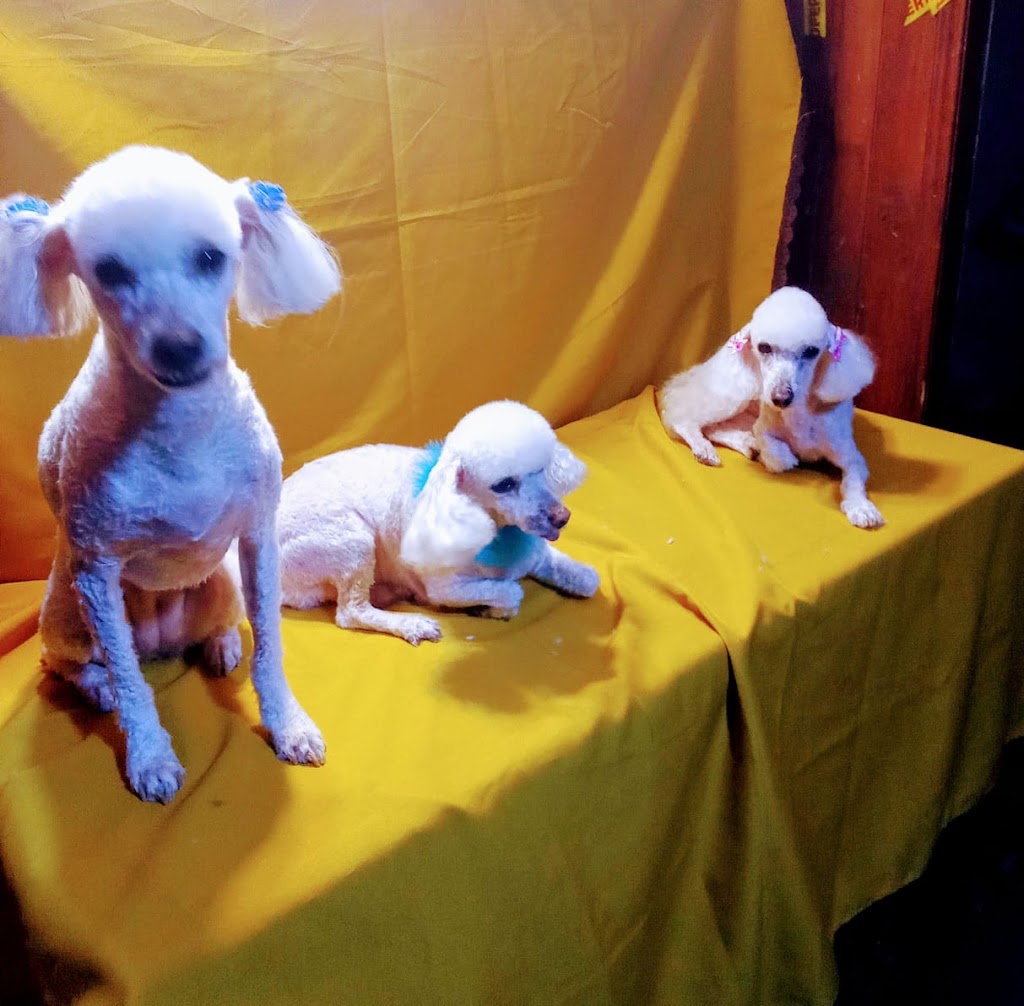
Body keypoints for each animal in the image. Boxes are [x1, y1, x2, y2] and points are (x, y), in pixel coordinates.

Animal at [0, 145, 341, 802]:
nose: (179, 346)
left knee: (222, 624)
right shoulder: (96, 568)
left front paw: (287, 725)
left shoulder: (257, 538)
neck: (179, 430)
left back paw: (221, 643)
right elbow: (132, 687)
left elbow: (271, 648)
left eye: (210, 257)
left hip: (223, 578)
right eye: (109, 272)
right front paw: (151, 758)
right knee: (70, 663)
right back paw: (97, 685)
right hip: (69, 609)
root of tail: (162, 640)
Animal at [277, 400, 600, 644]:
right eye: (503, 485)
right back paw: (411, 624)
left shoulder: (534, 553)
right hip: (351, 541)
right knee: (350, 612)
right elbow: (511, 591)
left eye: (542, 469)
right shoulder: (445, 589)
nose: (562, 517)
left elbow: (587, 580)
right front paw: (493, 610)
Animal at [658, 286, 885, 528]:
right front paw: (783, 458)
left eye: (811, 351)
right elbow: (773, 447)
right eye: (764, 347)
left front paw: (861, 508)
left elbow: (853, 480)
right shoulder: (763, 428)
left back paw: (744, 443)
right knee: (683, 418)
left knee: (715, 428)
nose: (780, 398)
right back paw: (705, 448)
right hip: (732, 397)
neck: (797, 416)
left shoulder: (851, 456)